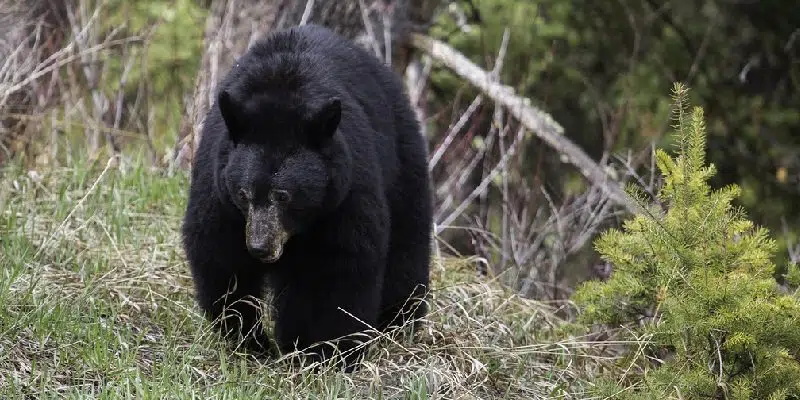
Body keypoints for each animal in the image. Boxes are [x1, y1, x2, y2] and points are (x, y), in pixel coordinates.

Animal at [181, 23, 434, 370]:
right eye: (243, 193)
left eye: (283, 195)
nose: (260, 247)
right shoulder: (218, 190)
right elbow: (220, 258)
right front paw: (249, 340)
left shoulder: (345, 194)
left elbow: (336, 271)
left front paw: (324, 353)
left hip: (403, 159)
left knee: (407, 243)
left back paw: (398, 322)